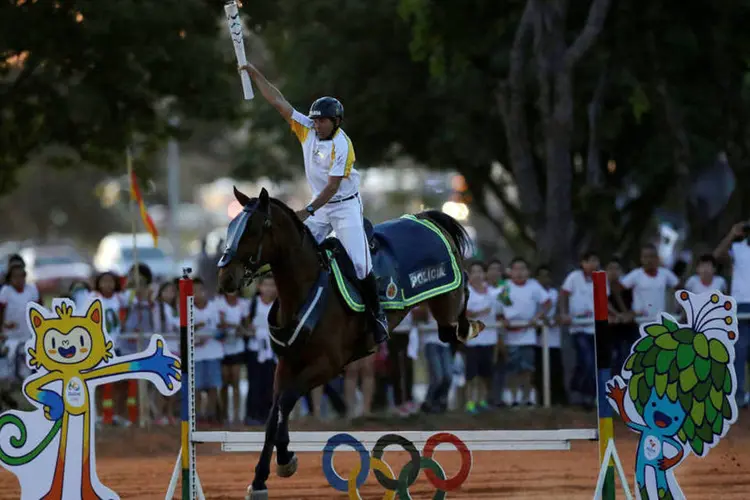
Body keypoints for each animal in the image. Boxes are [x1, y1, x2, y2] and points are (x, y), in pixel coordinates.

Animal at [217, 186, 488, 498]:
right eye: (230, 226)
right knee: (449, 330)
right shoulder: (287, 363)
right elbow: (275, 414)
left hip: (447, 302)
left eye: (253, 229)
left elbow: (285, 402)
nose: (225, 278)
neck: (305, 290)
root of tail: (423, 217)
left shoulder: (328, 365)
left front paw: (284, 459)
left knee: (460, 305)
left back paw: (473, 324)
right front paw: (261, 478)